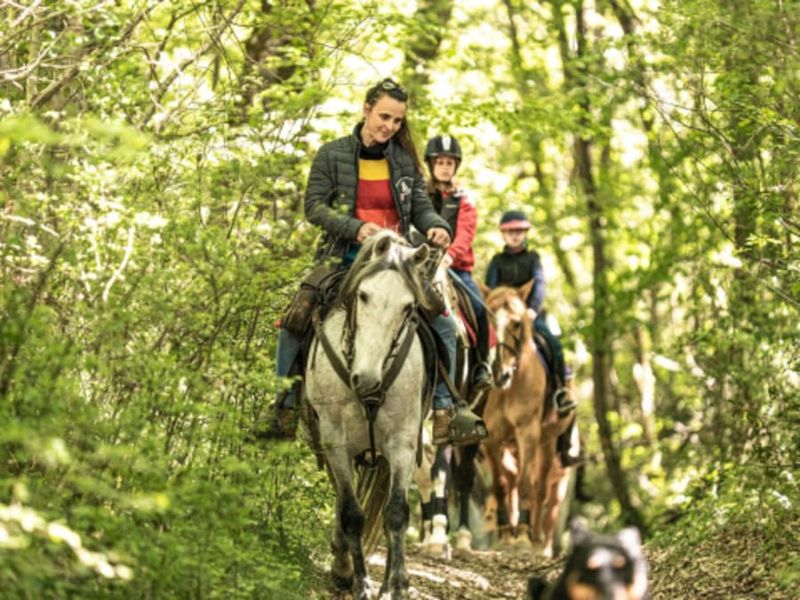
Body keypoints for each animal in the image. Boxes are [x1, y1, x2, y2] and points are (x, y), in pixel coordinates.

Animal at [302, 231, 433, 599]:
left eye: (408, 307)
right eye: (363, 295)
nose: (367, 379)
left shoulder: (402, 442)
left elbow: (396, 513)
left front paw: (397, 585)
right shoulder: (334, 439)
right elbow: (351, 513)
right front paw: (356, 580)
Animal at [481, 281, 576, 556]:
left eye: (516, 323)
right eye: (488, 318)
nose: (498, 373)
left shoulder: (528, 433)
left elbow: (526, 486)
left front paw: (523, 534)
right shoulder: (491, 439)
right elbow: (501, 486)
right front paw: (505, 533)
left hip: (547, 443)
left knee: (539, 489)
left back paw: (536, 538)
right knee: (512, 483)